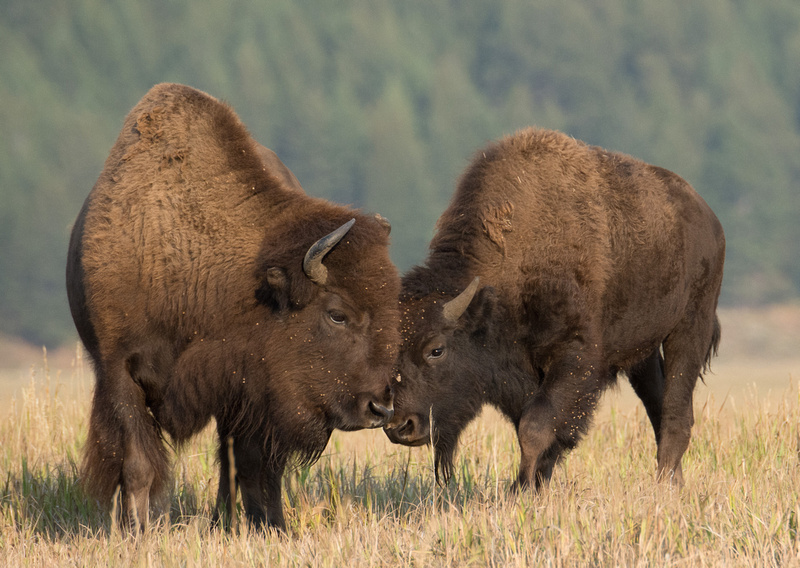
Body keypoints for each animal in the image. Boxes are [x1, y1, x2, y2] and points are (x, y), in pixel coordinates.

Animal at [67, 83, 400, 531]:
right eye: (337, 314)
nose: (380, 407)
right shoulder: (119, 370)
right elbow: (137, 465)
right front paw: (138, 530)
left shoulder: (249, 390)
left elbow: (256, 467)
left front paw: (272, 526)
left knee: (233, 463)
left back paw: (224, 520)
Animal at [384, 128, 724, 490]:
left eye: (436, 350)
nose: (401, 426)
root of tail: (710, 220)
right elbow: (540, 429)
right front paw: (535, 484)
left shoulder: (574, 361)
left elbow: (534, 427)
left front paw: (519, 489)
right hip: (642, 353)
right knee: (657, 403)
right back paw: (672, 481)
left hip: (690, 328)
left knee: (677, 410)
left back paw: (665, 483)